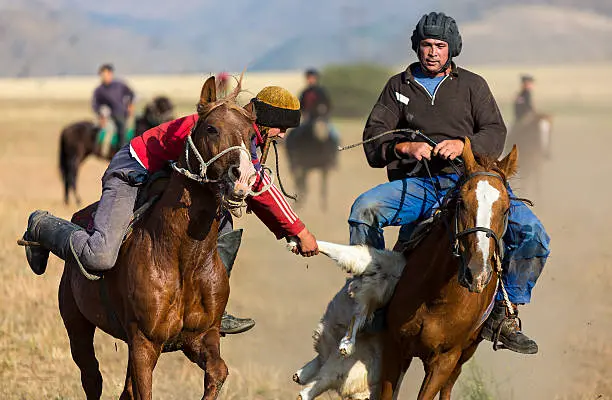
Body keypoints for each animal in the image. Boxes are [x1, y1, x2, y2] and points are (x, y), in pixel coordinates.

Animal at [56, 76, 256, 398]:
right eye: (212, 128)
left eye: (251, 135)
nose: (243, 177)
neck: (183, 258)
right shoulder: (144, 343)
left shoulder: (200, 337)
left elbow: (219, 372)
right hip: (77, 324)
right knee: (92, 377)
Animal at [380, 138, 520, 400]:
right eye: (462, 203)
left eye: (506, 209)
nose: (477, 274)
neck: (435, 296)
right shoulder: (394, 347)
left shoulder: (445, 360)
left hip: (465, 353)